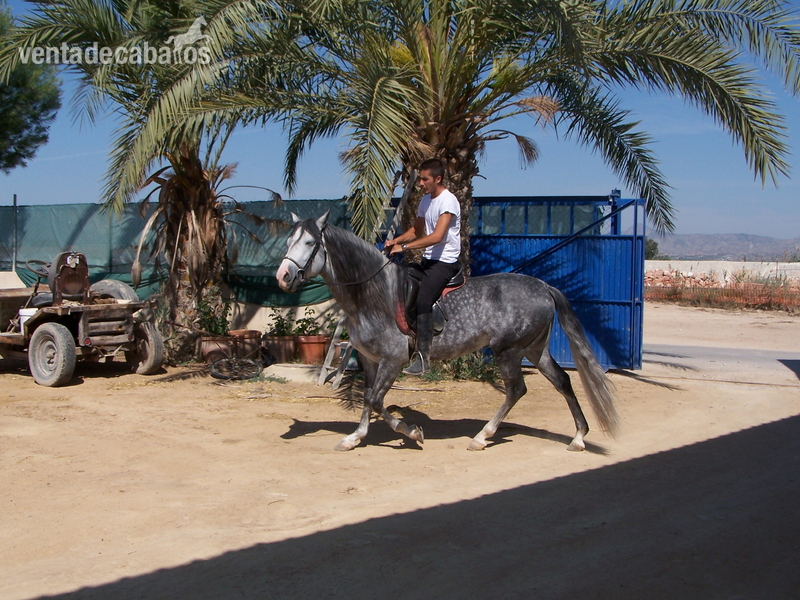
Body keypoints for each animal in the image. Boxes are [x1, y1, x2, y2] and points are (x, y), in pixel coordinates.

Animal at [276, 211, 620, 452]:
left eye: (309, 243)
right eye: (288, 242)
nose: (283, 276)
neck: (372, 294)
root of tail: (543, 287)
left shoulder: (393, 359)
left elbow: (375, 400)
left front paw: (412, 432)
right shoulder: (371, 360)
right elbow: (368, 399)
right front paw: (355, 437)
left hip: (508, 351)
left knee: (516, 390)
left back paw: (482, 437)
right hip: (534, 349)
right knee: (562, 381)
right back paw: (578, 437)